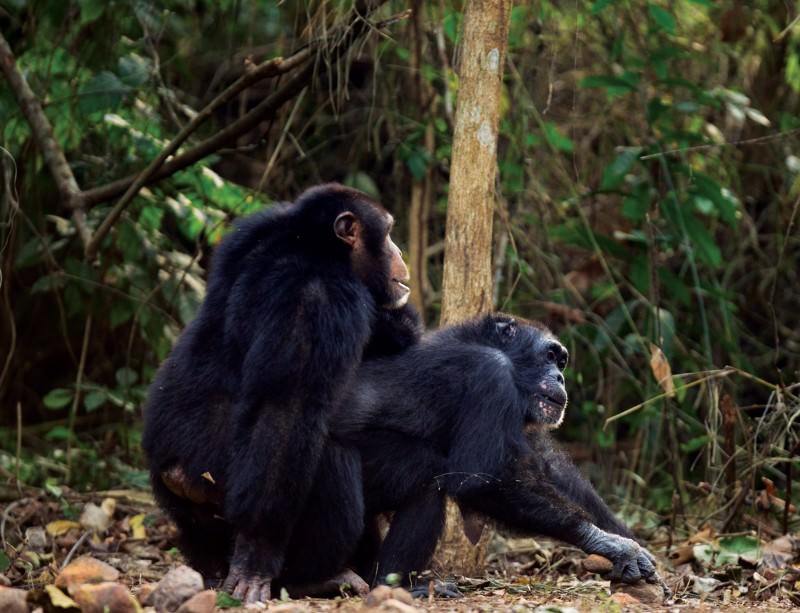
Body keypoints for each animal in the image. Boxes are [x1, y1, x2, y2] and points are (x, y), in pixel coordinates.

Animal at [141, 183, 422, 604]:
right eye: (388, 232)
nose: (400, 251)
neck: (314, 245)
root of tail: (179, 473)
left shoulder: (247, 232)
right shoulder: (316, 302)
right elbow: (285, 412)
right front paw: (256, 558)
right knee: (325, 452)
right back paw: (319, 577)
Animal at [334, 314, 660, 592]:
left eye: (562, 362)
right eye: (550, 356)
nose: (561, 377)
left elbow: (548, 466)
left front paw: (626, 543)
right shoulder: (492, 374)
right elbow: (478, 479)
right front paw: (608, 543)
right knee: (428, 475)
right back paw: (396, 586)